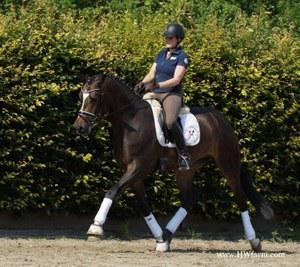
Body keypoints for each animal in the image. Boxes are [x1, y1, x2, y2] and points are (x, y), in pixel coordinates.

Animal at [73, 74, 274, 253]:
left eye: (93, 98)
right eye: (80, 97)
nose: (79, 128)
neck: (131, 120)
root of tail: (221, 119)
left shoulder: (139, 167)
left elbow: (112, 190)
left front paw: (95, 228)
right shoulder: (133, 174)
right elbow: (144, 206)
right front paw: (160, 239)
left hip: (227, 164)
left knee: (240, 197)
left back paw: (254, 241)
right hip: (185, 170)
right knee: (188, 199)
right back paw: (167, 235)